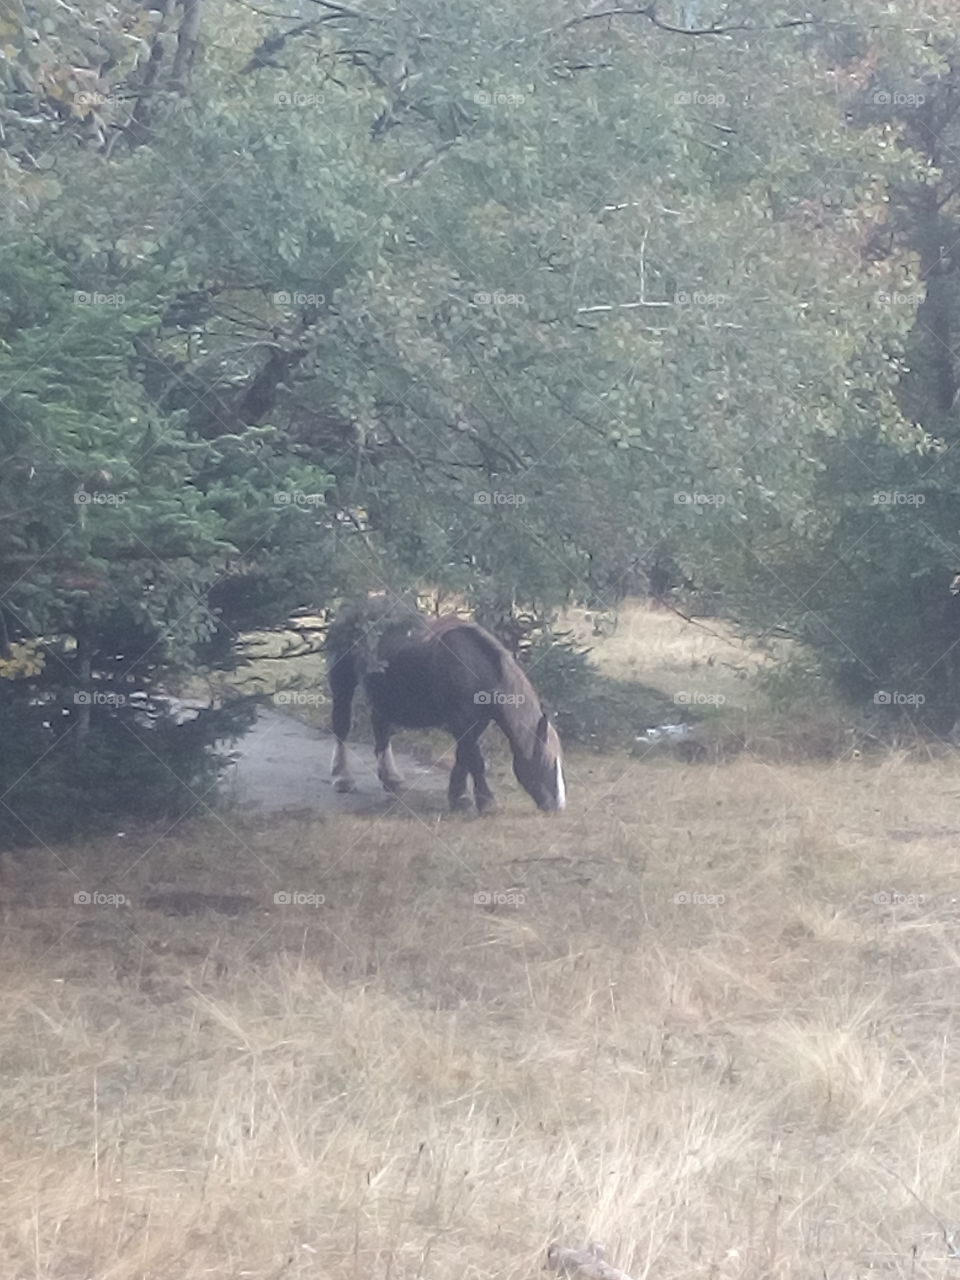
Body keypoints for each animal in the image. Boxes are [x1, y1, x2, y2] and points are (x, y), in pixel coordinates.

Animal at [326, 600, 565, 813]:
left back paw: (391, 778)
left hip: (383, 695)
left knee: (381, 727)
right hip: (342, 683)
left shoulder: (475, 723)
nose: (558, 805)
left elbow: (463, 756)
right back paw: (342, 777)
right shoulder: (460, 722)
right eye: (547, 761)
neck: (475, 667)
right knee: (341, 724)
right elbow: (475, 760)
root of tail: (348, 609)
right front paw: (487, 803)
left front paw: (459, 797)